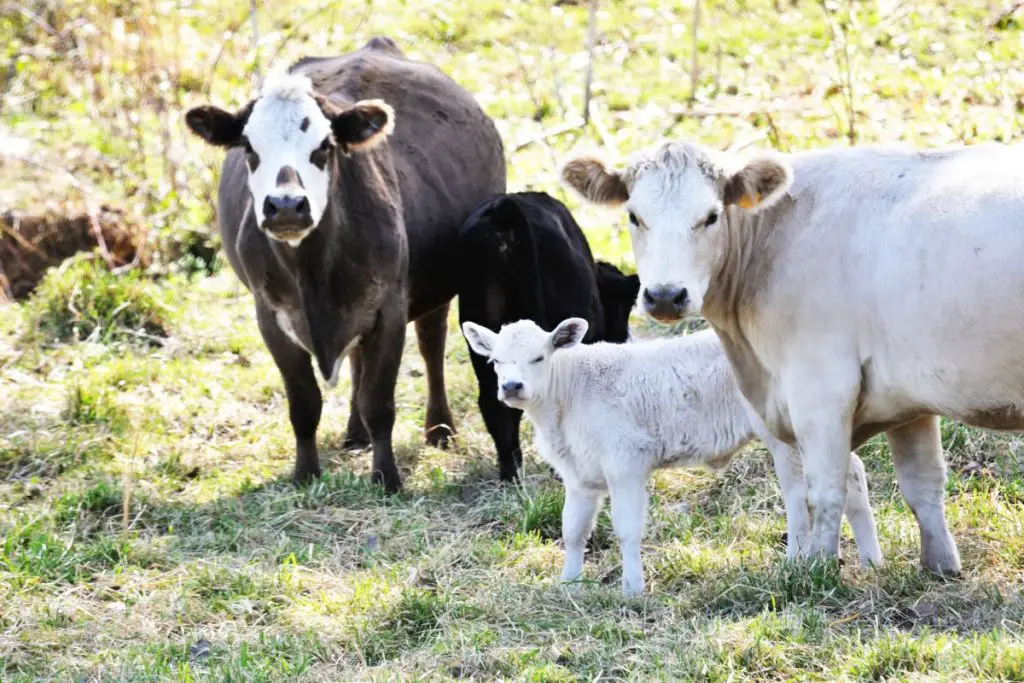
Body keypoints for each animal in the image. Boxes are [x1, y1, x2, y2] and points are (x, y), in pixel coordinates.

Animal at [464, 317, 880, 593]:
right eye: (495, 361)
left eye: (539, 357)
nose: (512, 386)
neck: (569, 394)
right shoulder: (579, 476)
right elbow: (573, 529)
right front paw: (569, 582)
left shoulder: (626, 462)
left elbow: (626, 528)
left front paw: (632, 589)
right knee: (848, 476)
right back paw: (871, 561)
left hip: (787, 433)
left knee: (800, 495)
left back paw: (797, 562)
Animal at [565, 140, 1024, 577]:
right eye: (634, 216)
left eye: (711, 216)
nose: (664, 295)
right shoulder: (907, 397)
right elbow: (922, 484)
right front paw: (940, 568)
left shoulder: (819, 387)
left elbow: (823, 491)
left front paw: (820, 570)